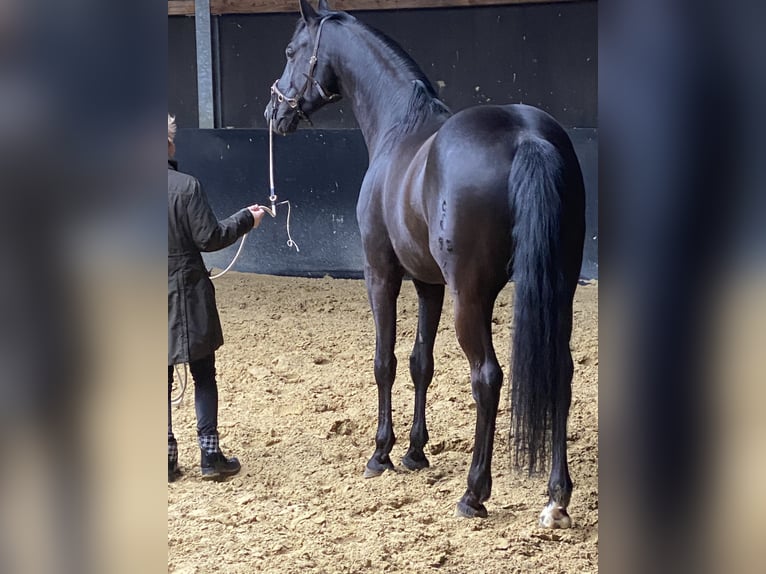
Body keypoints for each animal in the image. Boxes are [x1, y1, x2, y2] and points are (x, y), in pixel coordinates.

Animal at [268, 1, 584, 532]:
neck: (400, 127)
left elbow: (386, 361)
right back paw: (556, 497)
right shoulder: (427, 283)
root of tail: (527, 136)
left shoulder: (382, 275)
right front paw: (416, 452)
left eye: (292, 50)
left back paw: (474, 494)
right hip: (557, 291)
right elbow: (421, 362)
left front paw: (381, 453)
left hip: (470, 298)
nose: (274, 111)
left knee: (487, 378)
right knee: (560, 371)